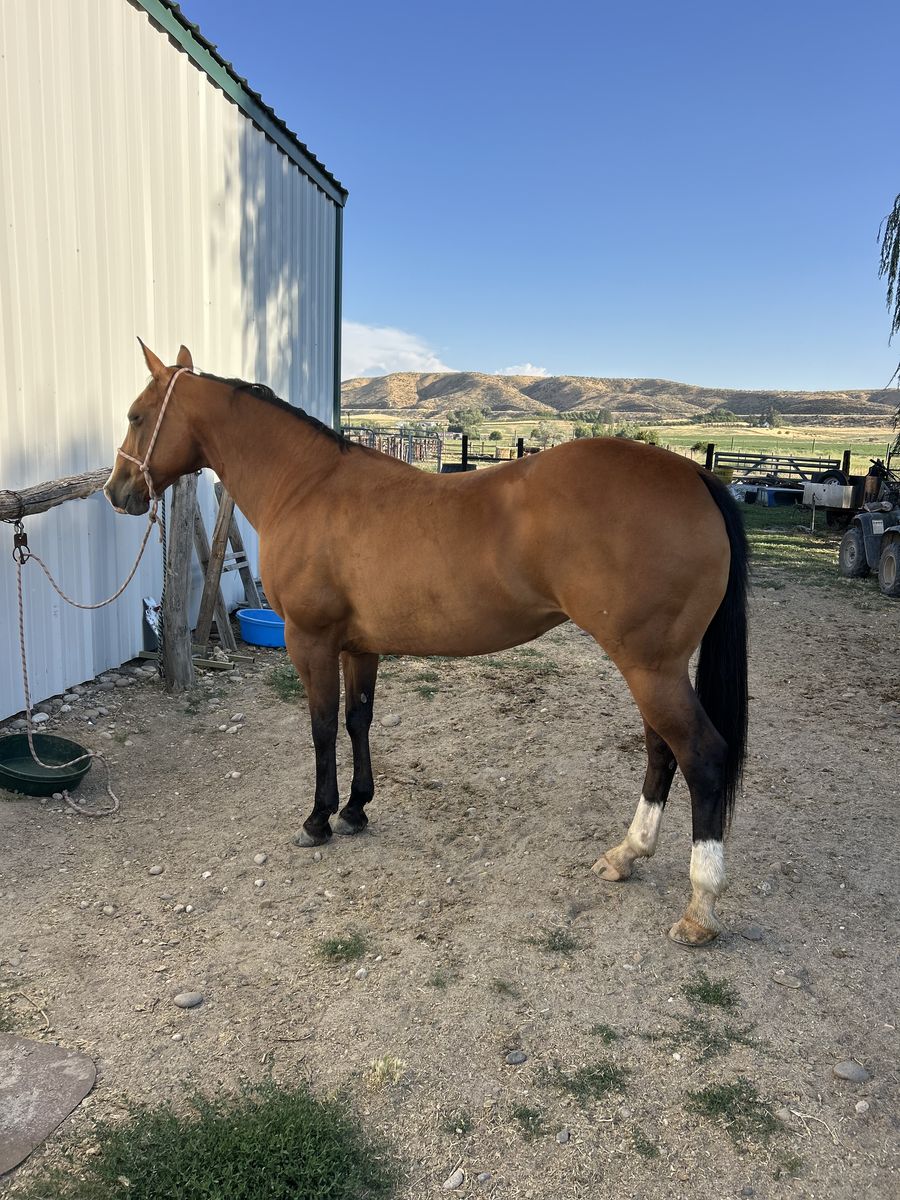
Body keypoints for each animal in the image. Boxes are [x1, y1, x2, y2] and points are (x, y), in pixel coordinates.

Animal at [105, 342, 748, 945]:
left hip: (650, 667)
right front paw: (356, 809)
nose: (117, 491)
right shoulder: (358, 647)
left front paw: (318, 819)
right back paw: (627, 855)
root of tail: (694, 476)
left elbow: (321, 727)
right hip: (652, 668)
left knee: (702, 757)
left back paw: (700, 906)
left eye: (136, 416)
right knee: (662, 751)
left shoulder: (311, 642)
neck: (307, 486)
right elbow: (358, 720)